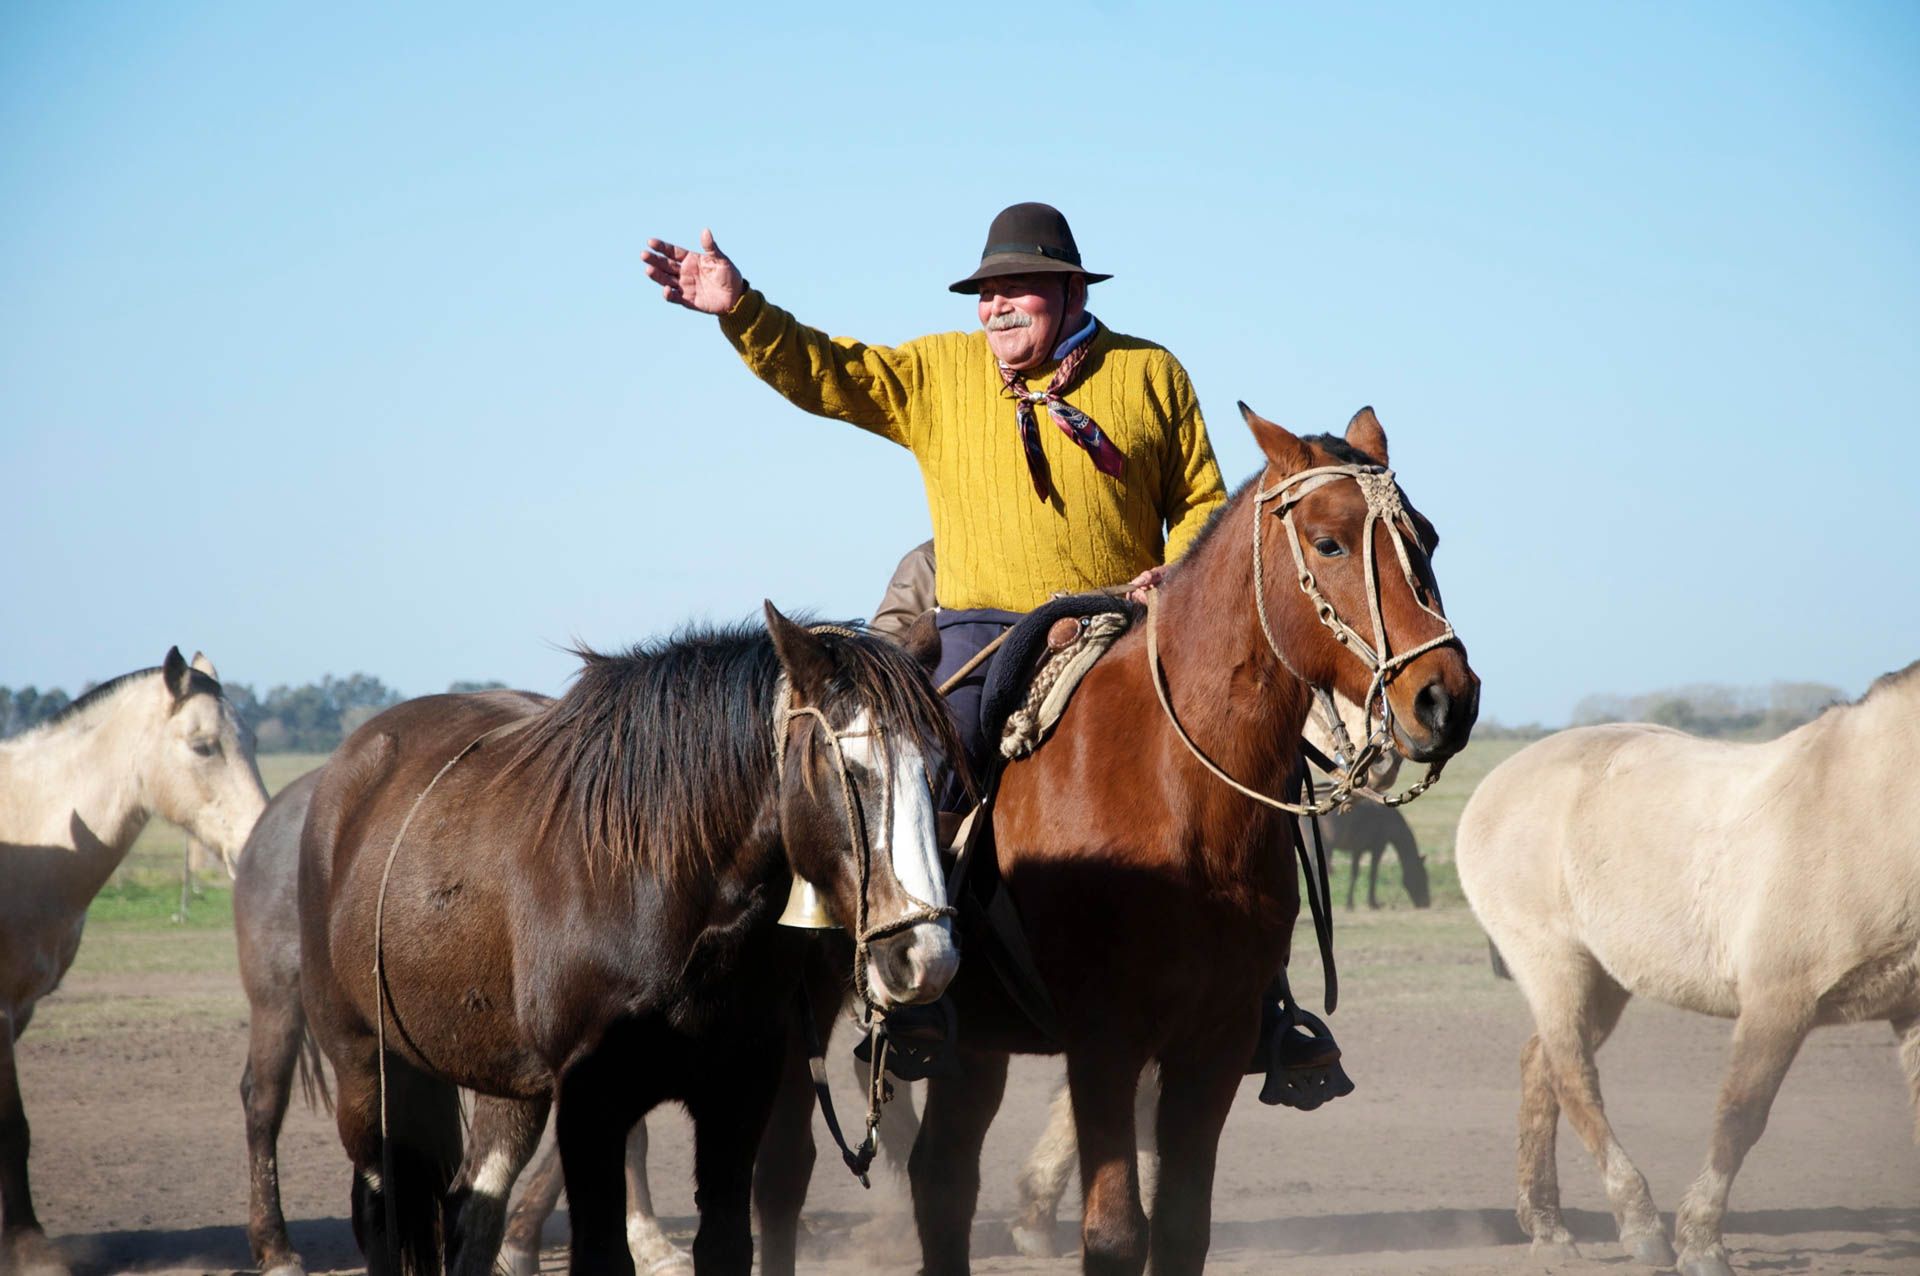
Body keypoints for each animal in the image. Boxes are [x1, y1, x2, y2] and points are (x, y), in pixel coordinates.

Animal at [1, 648, 266, 1276]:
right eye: (203, 746)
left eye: (253, 741)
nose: (261, 842)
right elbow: (11, 1126)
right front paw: (27, 1246)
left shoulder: (18, 1010)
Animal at [298, 605, 962, 1276]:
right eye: (852, 769)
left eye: (937, 773)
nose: (926, 959)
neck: (661, 896)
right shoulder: (591, 1105)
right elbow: (602, 1252)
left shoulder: (738, 1093)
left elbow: (725, 1243)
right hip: (363, 1065)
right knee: (382, 1210)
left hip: (509, 1086)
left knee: (472, 1207)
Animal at [749, 405, 1479, 1276]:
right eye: (1330, 542)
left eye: (1426, 537)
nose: (1445, 698)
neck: (1178, 793)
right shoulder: (1105, 1042)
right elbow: (1115, 1234)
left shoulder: (1214, 1044)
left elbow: (1182, 1229)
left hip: (975, 1045)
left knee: (943, 1177)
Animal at [1456, 662, 1920, 1276]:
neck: (1873, 804)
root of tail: (1497, 782)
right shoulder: (1778, 1003)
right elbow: (1739, 1117)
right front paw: (1701, 1244)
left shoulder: (1911, 1012)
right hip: (1556, 967)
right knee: (1573, 1079)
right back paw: (1639, 1226)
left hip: (1607, 982)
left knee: (1540, 1067)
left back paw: (1548, 1228)